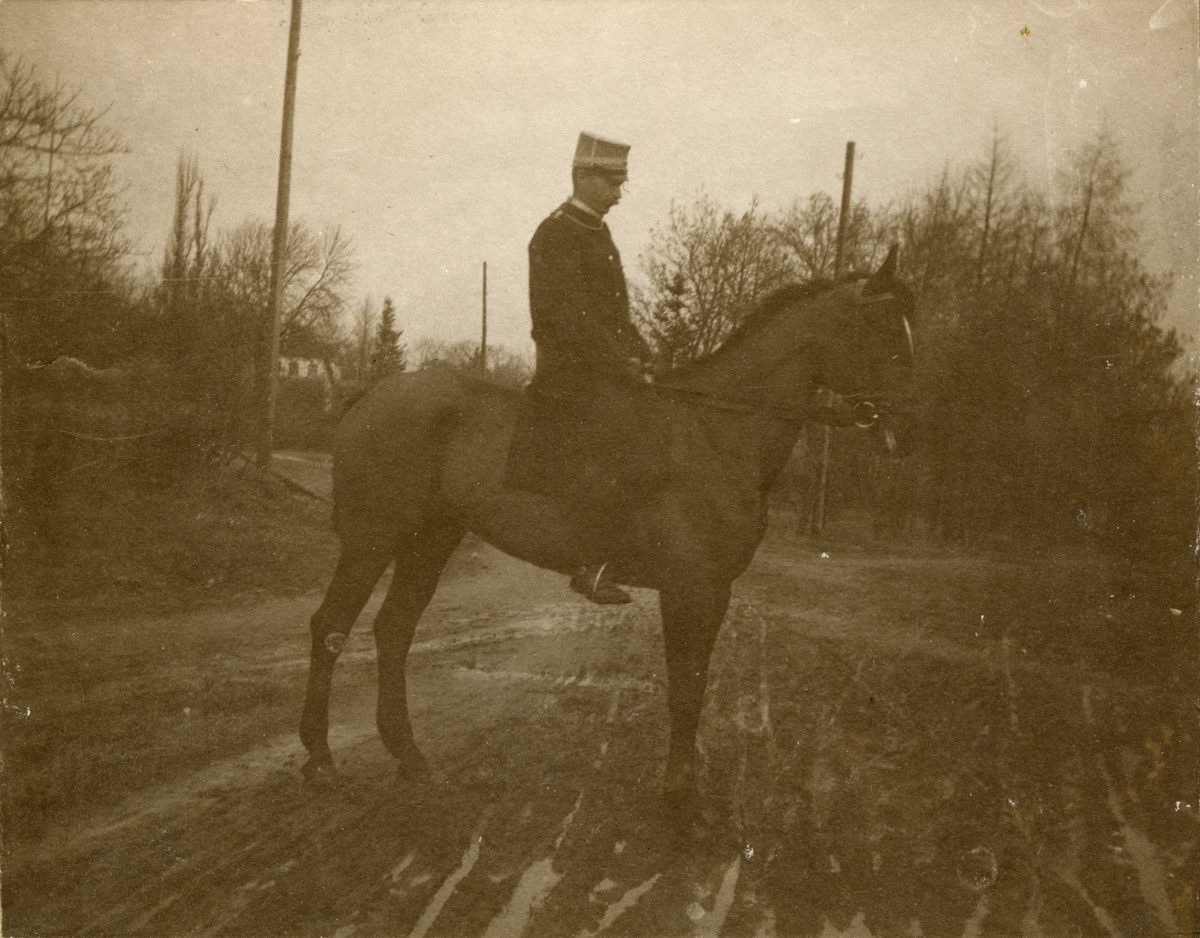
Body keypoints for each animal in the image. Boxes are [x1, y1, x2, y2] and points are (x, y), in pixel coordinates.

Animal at [298, 248, 916, 814]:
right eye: (883, 327)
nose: (908, 425)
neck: (717, 432)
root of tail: (375, 393)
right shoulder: (689, 589)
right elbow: (685, 690)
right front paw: (679, 797)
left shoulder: (714, 592)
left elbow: (694, 687)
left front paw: (682, 788)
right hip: (374, 538)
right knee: (331, 627)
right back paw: (320, 758)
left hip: (431, 540)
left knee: (393, 631)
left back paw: (409, 756)